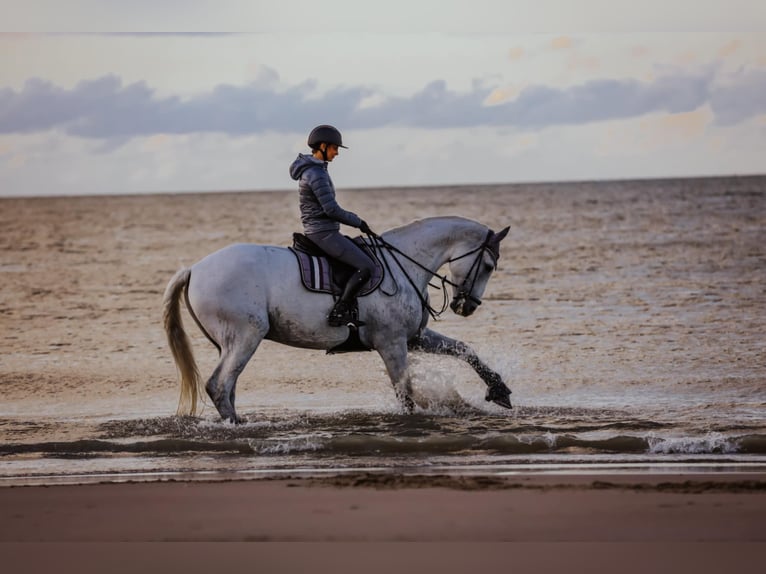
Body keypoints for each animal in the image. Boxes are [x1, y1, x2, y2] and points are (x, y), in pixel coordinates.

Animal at [164, 216, 516, 424]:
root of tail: (194, 269)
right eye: (487, 266)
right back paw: (236, 426)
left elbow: (464, 349)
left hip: (230, 344)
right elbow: (405, 391)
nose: (466, 306)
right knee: (220, 385)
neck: (403, 264)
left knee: (228, 387)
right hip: (246, 336)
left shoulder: (414, 338)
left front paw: (499, 390)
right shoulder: (392, 344)